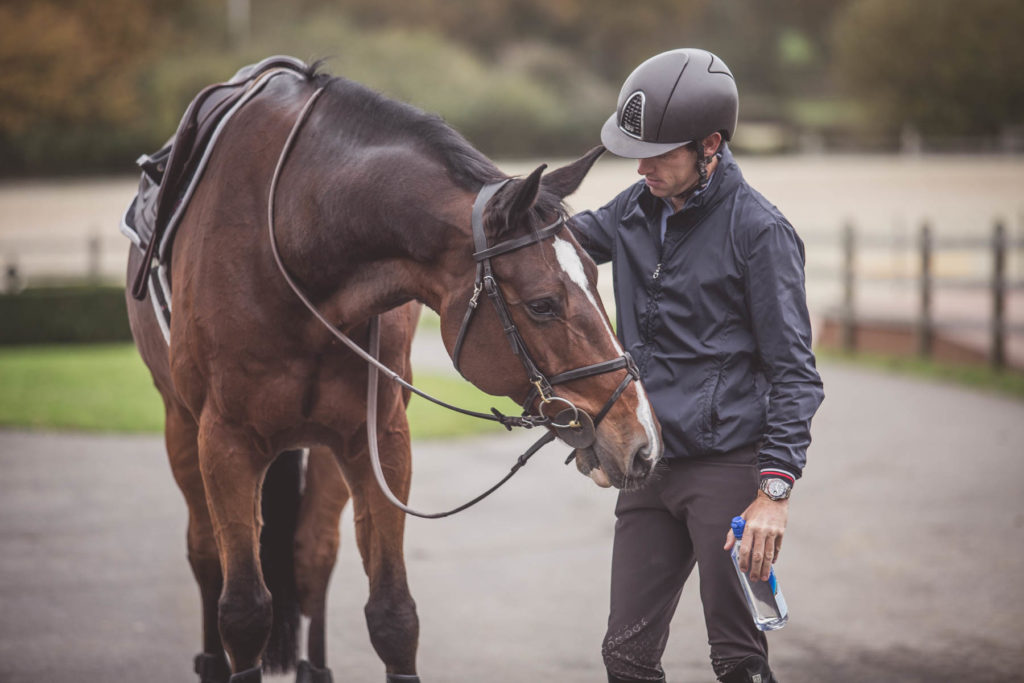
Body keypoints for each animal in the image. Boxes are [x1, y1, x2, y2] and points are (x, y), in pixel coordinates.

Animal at [123, 61, 659, 679]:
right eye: (544, 304)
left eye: (597, 278)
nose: (642, 440)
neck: (292, 235)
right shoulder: (225, 443)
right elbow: (244, 612)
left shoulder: (376, 439)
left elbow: (393, 616)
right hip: (182, 429)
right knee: (207, 554)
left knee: (312, 557)